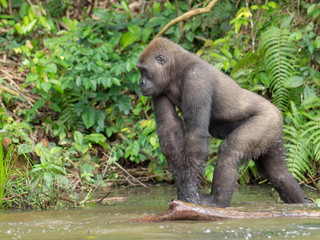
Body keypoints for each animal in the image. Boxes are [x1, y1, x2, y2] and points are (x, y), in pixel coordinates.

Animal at [136, 36, 308, 207]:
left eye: (143, 71)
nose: (140, 82)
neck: (176, 67)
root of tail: (277, 111)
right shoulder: (159, 88)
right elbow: (169, 129)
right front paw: (181, 183)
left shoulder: (196, 78)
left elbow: (196, 132)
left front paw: (189, 191)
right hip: (274, 131)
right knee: (276, 171)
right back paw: (301, 201)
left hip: (268, 119)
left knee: (230, 152)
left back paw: (218, 200)